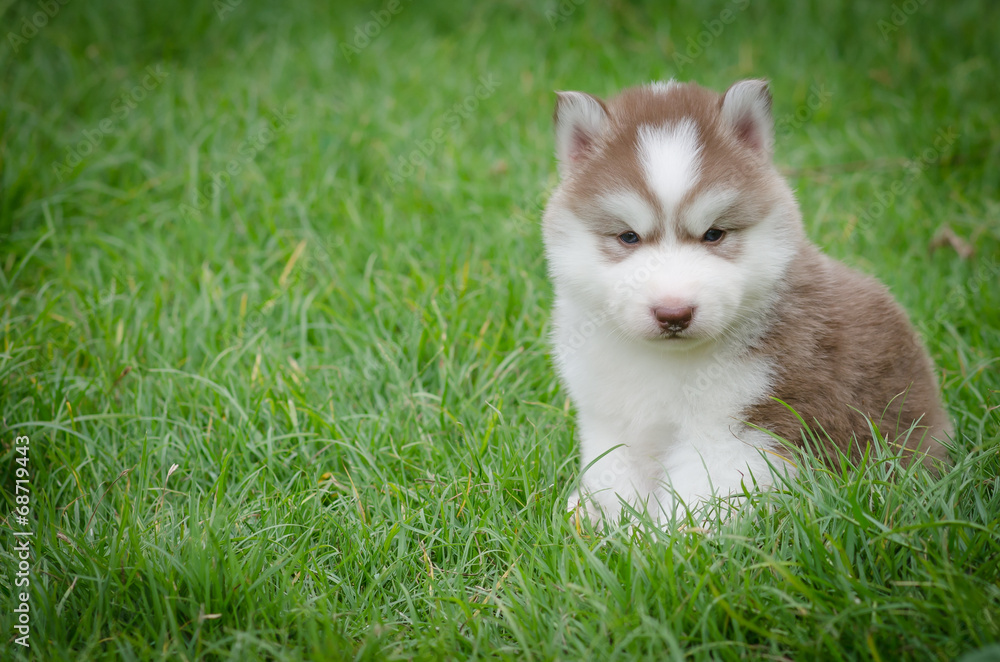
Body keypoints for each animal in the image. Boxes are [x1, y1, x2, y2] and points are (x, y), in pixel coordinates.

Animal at [544, 79, 948, 524]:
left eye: (714, 234)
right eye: (629, 237)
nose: (674, 313)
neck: (667, 364)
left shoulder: (739, 429)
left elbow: (701, 498)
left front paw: (669, 537)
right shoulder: (610, 419)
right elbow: (616, 479)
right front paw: (599, 520)